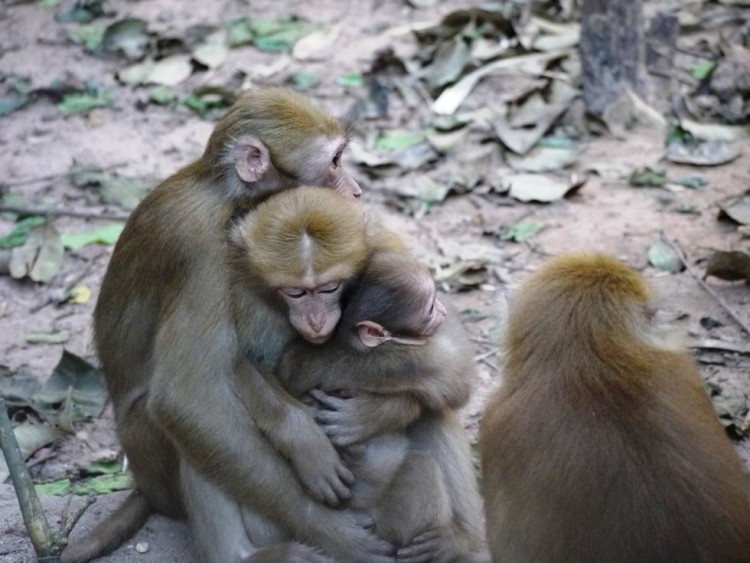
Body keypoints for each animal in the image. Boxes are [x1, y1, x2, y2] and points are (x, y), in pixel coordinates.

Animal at [64, 90, 394, 560]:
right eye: (333, 162)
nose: (356, 190)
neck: (227, 197)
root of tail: (145, 487)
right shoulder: (203, 252)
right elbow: (187, 399)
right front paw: (332, 529)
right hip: (151, 457)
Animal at [280, 252, 490, 563]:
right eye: (429, 307)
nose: (443, 311)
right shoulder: (411, 353)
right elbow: (453, 375)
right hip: (391, 522)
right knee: (422, 460)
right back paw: (453, 545)